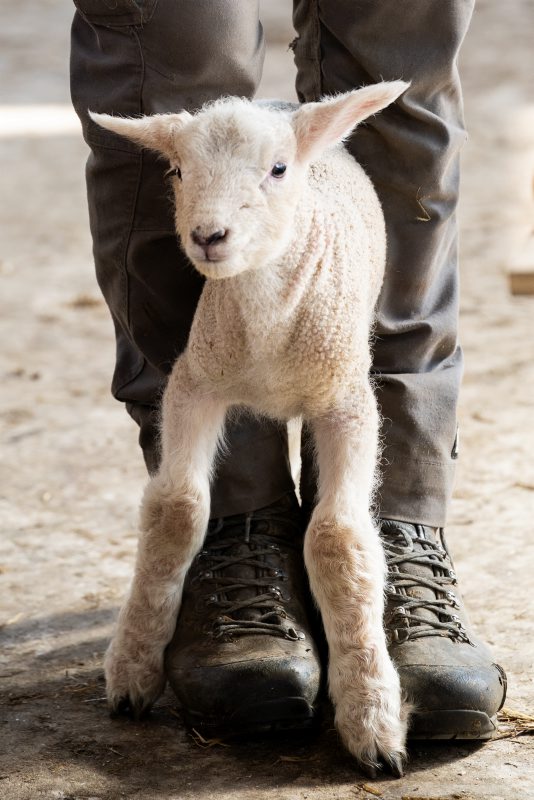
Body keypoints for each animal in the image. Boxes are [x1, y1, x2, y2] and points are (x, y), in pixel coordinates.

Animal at [91, 81, 410, 776]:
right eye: (178, 172)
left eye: (278, 169)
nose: (209, 236)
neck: (268, 333)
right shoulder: (194, 382)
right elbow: (177, 510)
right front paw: (133, 664)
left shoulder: (346, 398)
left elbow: (339, 538)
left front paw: (371, 716)